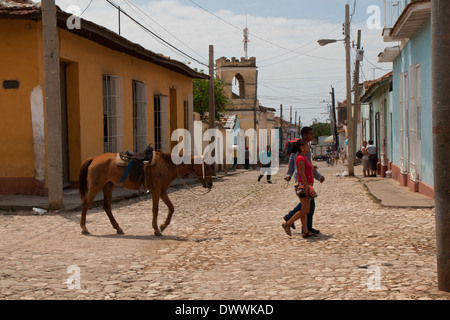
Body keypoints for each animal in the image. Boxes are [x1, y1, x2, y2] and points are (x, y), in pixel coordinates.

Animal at [78, 151, 214, 236]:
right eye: (206, 166)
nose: (210, 184)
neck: (166, 165)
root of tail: (93, 159)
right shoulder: (156, 191)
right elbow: (155, 209)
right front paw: (157, 229)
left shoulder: (163, 191)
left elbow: (171, 208)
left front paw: (163, 226)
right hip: (96, 186)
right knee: (85, 204)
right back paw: (84, 228)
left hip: (108, 186)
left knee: (106, 206)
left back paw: (118, 228)